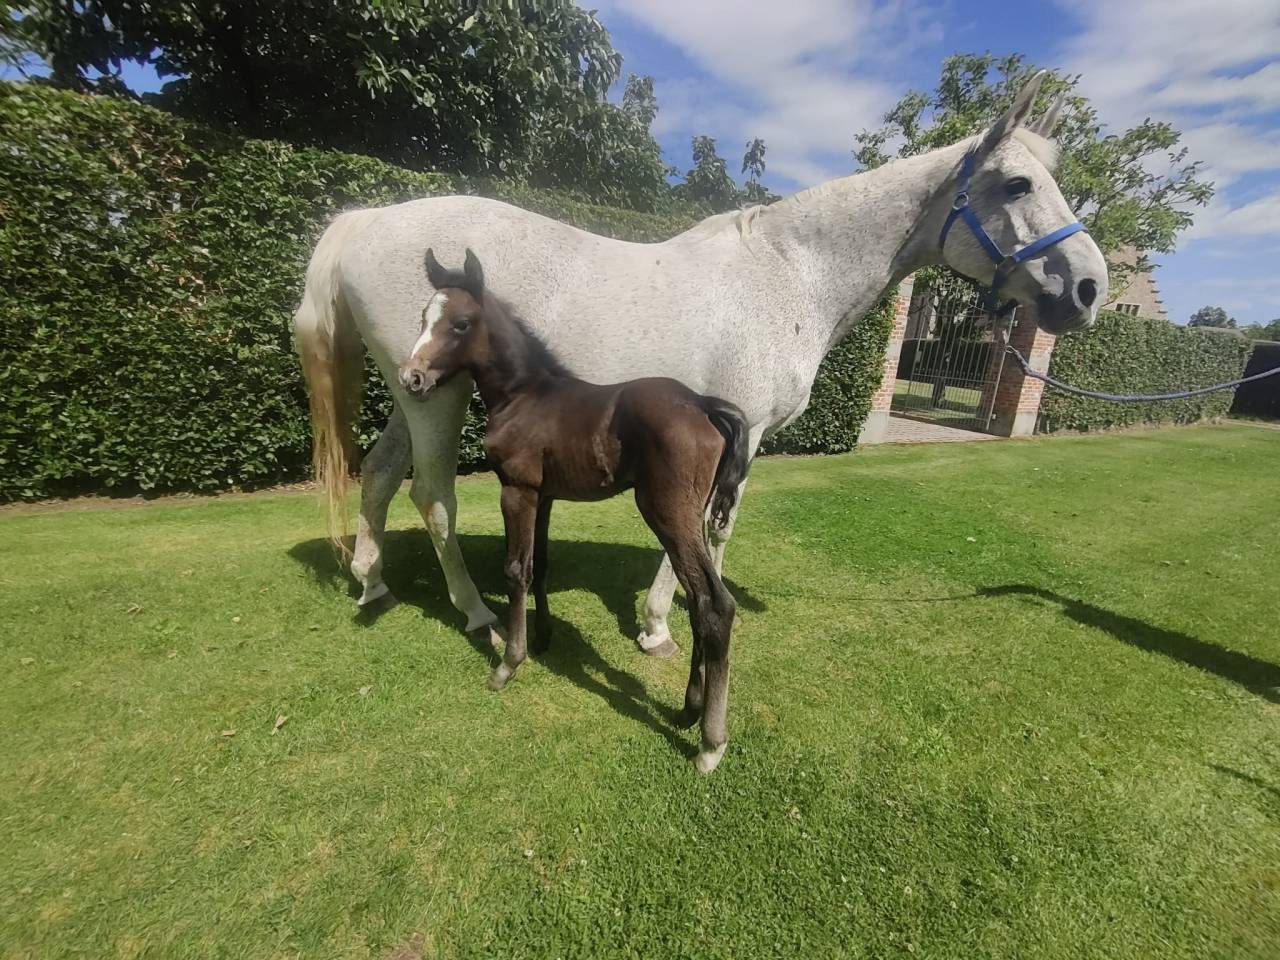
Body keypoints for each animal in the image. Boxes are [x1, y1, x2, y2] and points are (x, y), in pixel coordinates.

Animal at [294, 71, 1107, 659]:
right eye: (1017, 185)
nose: (1089, 287)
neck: (790, 272)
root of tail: (366, 220)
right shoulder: (739, 431)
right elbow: (710, 527)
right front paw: (658, 625)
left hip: (417, 387)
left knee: (378, 474)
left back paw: (371, 583)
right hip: (436, 397)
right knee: (432, 495)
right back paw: (477, 617)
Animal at [398, 248, 752, 773]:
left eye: (460, 324)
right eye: (424, 317)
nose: (412, 378)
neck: (523, 395)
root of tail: (702, 403)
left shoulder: (517, 490)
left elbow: (516, 569)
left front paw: (509, 663)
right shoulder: (544, 495)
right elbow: (541, 564)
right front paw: (543, 637)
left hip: (666, 512)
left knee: (715, 605)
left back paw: (710, 742)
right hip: (691, 514)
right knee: (697, 602)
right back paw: (688, 710)